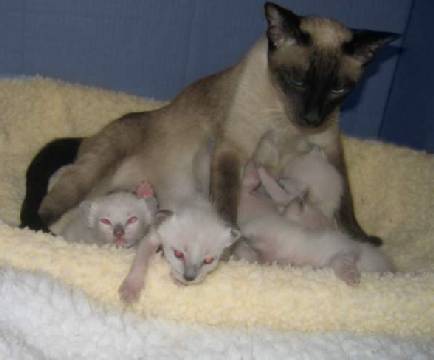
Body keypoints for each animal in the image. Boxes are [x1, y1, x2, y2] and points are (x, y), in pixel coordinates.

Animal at [37, 2, 396, 249]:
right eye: (297, 81)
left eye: (338, 90)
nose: (311, 118)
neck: (288, 123)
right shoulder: (234, 148)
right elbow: (226, 203)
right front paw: (231, 249)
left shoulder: (330, 149)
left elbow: (347, 207)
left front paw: (364, 240)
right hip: (93, 171)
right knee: (52, 200)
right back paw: (37, 232)